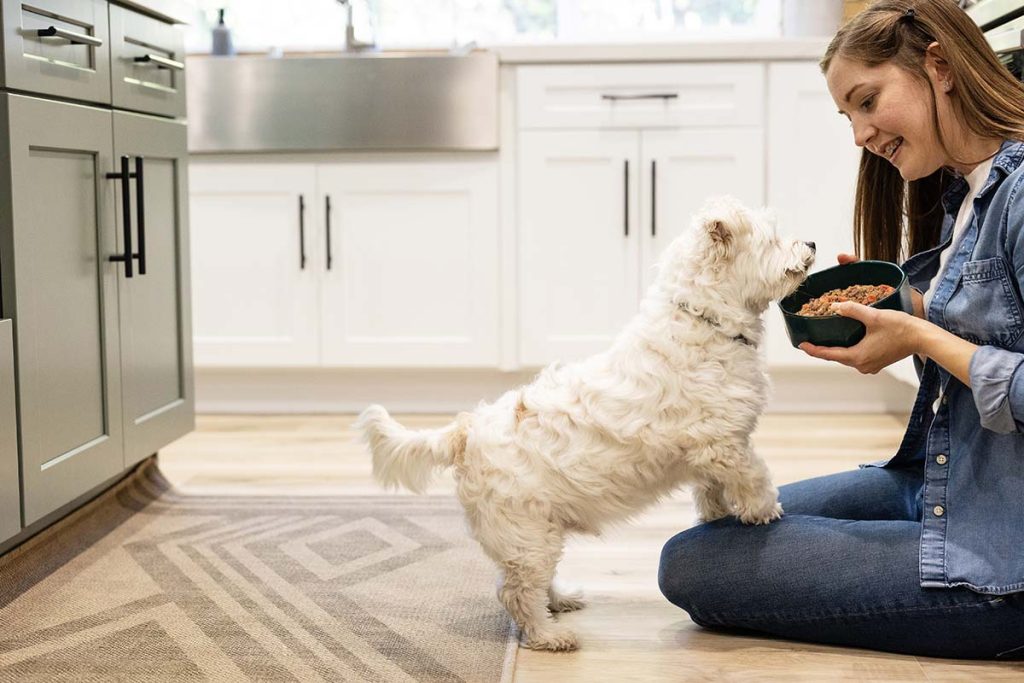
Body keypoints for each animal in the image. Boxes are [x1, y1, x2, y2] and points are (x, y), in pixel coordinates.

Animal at [358, 196, 815, 651]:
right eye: (774, 238)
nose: (810, 241)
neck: (704, 319)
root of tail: (466, 431)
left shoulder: (710, 451)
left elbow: (711, 491)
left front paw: (716, 517)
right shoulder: (723, 444)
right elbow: (754, 476)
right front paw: (765, 511)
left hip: (538, 533)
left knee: (532, 584)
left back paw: (560, 601)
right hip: (526, 533)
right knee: (515, 592)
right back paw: (550, 635)